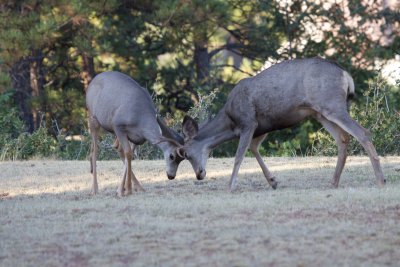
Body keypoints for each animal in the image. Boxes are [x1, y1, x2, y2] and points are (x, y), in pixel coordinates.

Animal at [180, 57, 386, 192]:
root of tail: (346, 75)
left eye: (185, 154)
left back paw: (380, 180)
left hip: (332, 105)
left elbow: (239, 155)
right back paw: (333, 183)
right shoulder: (264, 125)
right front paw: (273, 181)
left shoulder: (248, 122)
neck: (231, 120)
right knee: (343, 139)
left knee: (363, 133)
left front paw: (230, 186)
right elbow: (254, 148)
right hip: (321, 112)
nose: (199, 174)